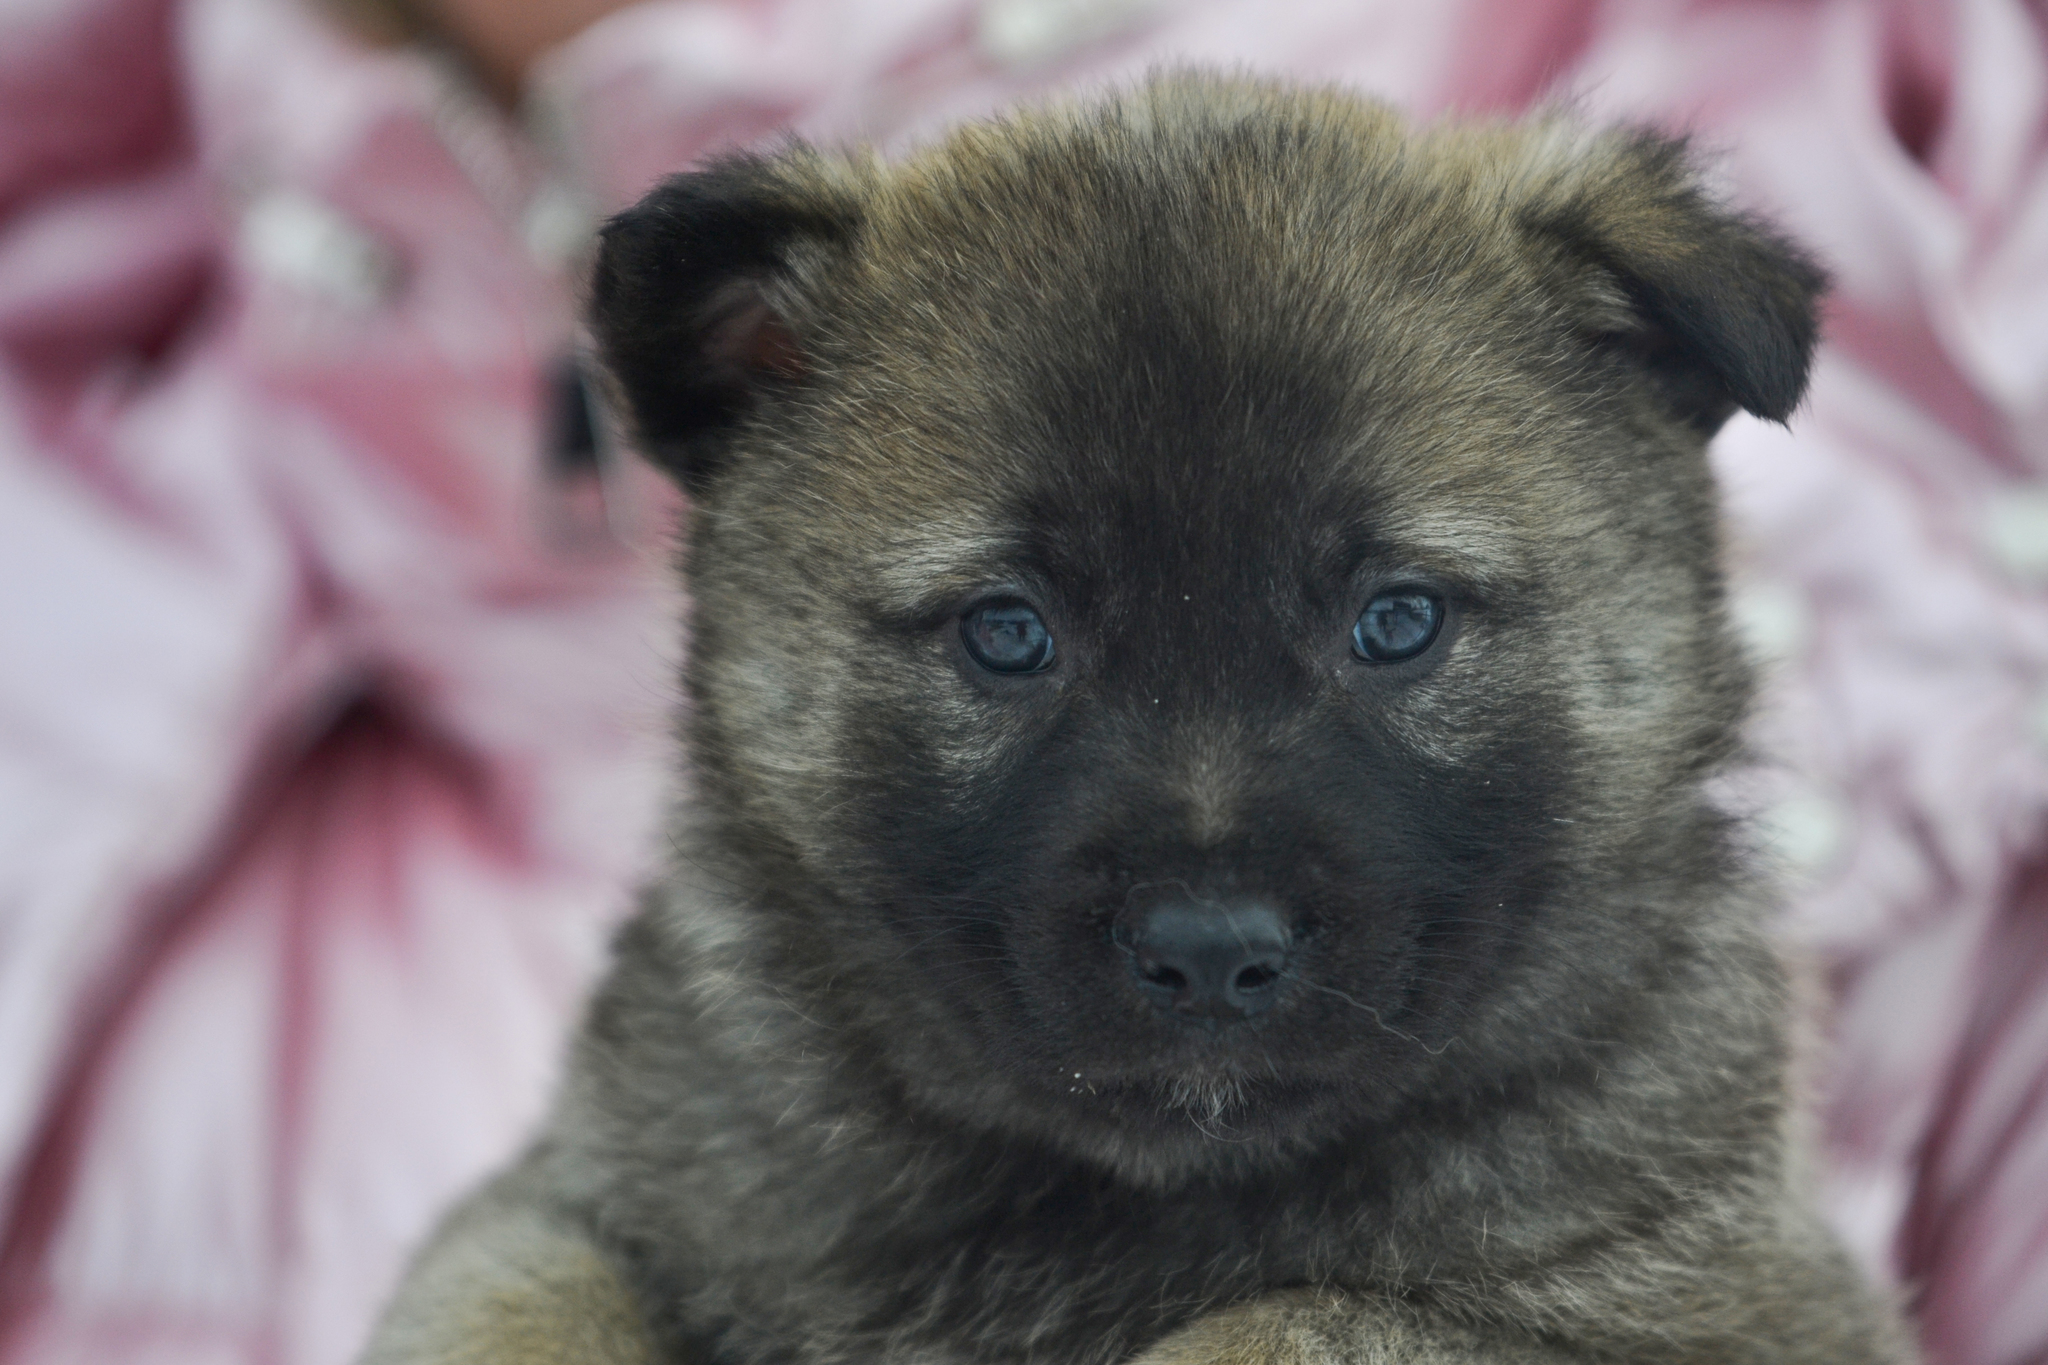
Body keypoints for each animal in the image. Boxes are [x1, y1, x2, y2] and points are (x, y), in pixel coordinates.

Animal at [360, 74, 1908, 1365]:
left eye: (1396, 621)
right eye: (1008, 632)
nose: (1209, 952)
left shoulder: (1721, 1310)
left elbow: (1299, 1321)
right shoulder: (561, 1207)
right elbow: (528, 1309)